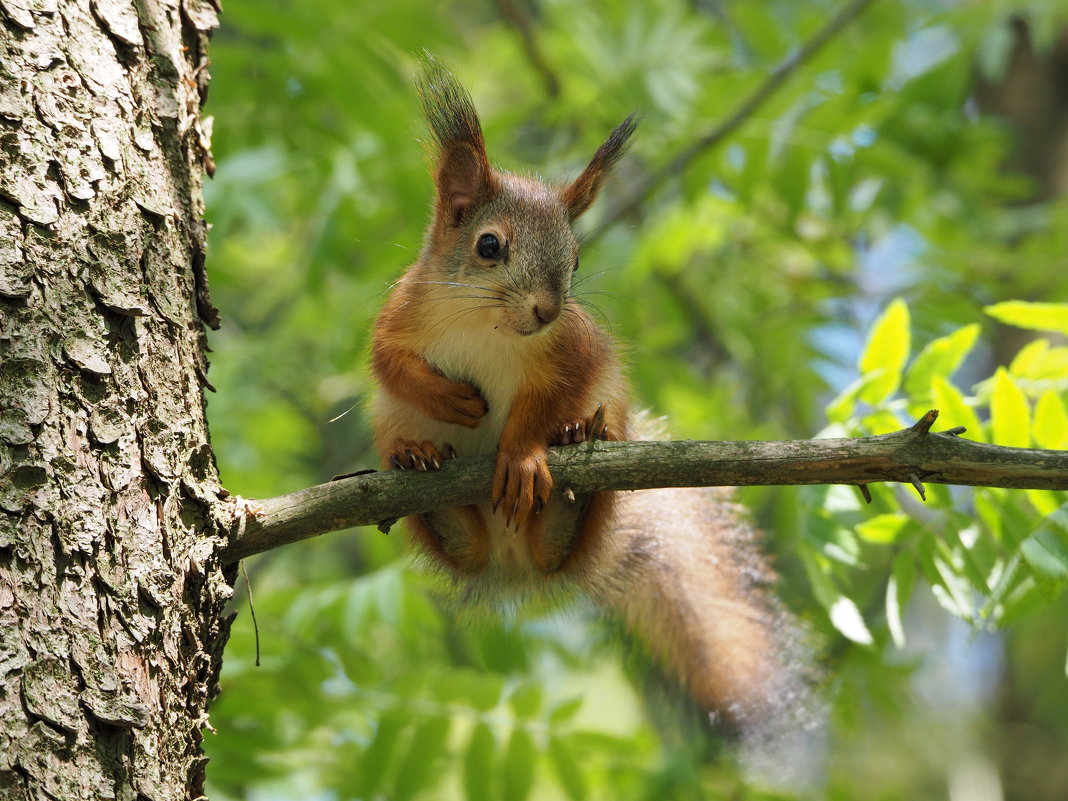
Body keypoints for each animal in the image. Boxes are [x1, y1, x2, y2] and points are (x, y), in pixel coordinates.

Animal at [371, 57, 811, 777]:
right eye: (488, 246)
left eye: (575, 259)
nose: (547, 308)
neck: (487, 326)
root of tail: (514, 563)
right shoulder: (399, 317)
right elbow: (390, 366)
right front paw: (449, 401)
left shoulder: (574, 352)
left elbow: (550, 398)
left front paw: (528, 450)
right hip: (440, 514)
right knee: (458, 542)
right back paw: (423, 466)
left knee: (562, 524)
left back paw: (576, 455)